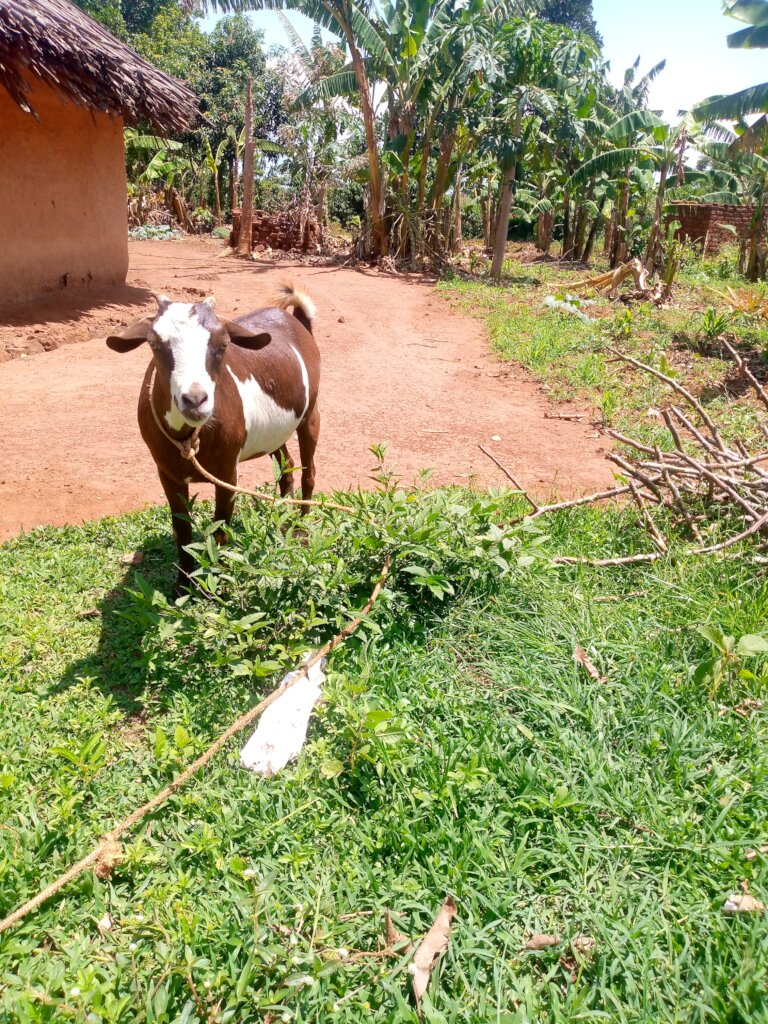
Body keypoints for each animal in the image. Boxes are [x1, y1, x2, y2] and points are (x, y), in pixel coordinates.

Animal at [107, 284, 320, 594]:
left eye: (223, 344)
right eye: (155, 344)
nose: (195, 400)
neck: (189, 438)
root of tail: (295, 321)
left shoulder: (227, 470)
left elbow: (220, 528)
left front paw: (216, 585)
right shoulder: (166, 472)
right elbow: (182, 530)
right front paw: (182, 586)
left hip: (311, 412)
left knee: (309, 469)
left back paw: (301, 529)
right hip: (273, 433)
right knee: (287, 464)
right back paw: (284, 520)